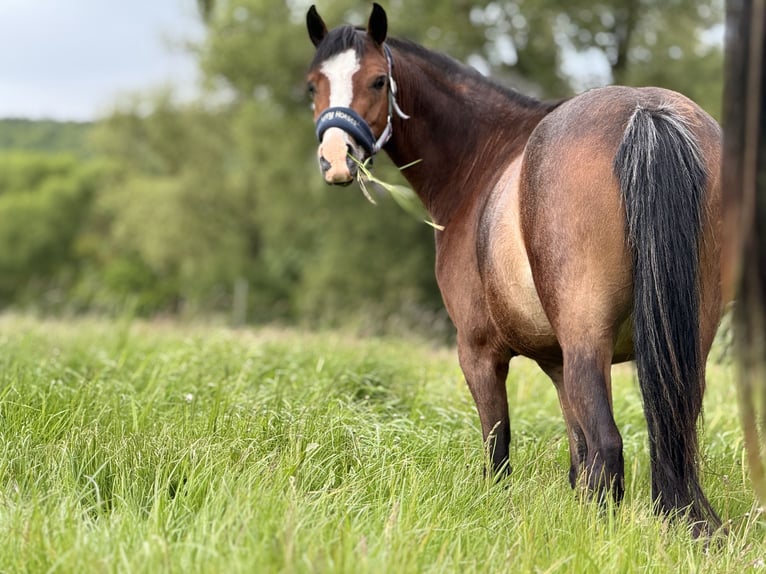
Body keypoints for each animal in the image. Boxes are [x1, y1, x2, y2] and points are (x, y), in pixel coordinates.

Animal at [305, 3, 725, 535]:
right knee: (672, 435)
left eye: (379, 80)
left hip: (587, 339)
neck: (482, 161)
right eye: (313, 85)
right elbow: (577, 456)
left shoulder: (479, 352)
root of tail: (645, 111)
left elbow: (500, 447)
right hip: (688, 338)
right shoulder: (558, 363)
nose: (336, 159)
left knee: (609, 444)